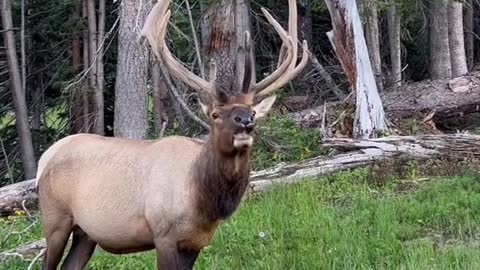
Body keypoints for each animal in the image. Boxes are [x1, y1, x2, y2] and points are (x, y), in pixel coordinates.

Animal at [36, 0, 308, 268]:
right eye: (215, 114)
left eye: (253, 111)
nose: (245, 121)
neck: (202, 201)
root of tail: (45, 158)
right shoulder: (163, 233)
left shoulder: (195, 242)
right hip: (55, 218)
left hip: (86, 233)